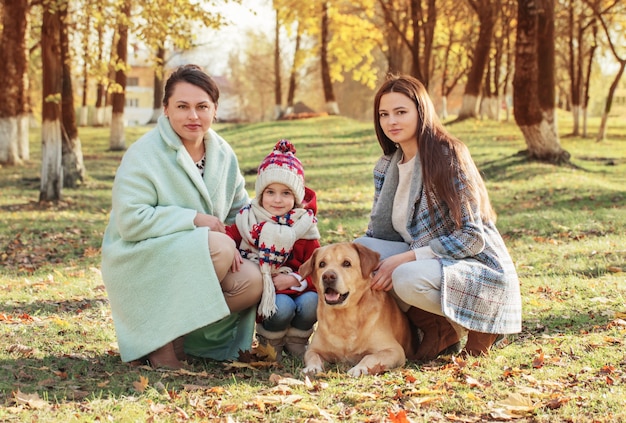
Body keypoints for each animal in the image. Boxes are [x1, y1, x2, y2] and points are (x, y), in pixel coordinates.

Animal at [298, 242, 414, 378]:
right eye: (322, 264)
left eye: (346, 263)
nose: (328, 276)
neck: (344, 317)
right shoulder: (312, 349)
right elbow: (313, 356)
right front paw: (312, 368)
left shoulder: (395, 350)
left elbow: (370, 357)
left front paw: (359, 368)